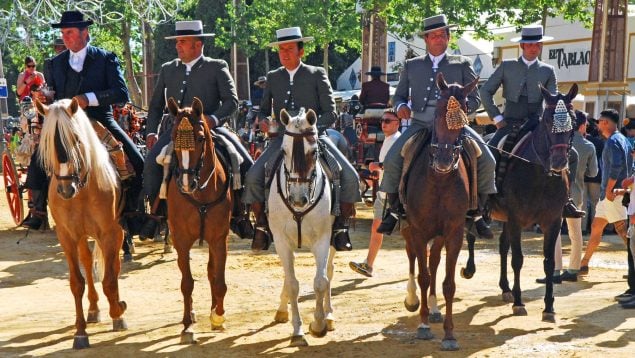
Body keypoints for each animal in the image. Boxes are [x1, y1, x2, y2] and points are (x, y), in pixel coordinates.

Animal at [34, 96, 128, 348]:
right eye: (48, 141)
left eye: (76, 139)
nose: (66, 189)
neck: (83, 189)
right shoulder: (67, 236)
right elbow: (76, 282)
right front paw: (80, 333)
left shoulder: (109, 232)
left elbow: (109, 279)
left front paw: (118, 312)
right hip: (83, 236)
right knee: (87, 260)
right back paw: (94, 310)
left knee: (114, 267)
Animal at [165, 96, 232, 342]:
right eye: (173, 137)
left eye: (201, 137)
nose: (186, 183)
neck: (200, 194)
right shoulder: (181, 240)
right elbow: (187, 283)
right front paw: (186, 325)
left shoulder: (219, 239)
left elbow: (218, 280)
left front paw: (218, 316)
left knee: (212, 272)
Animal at [268, 107, 338, 346]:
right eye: (283, 151)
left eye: (314, 152)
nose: (298, 200)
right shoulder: (281, 241)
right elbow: (292, 284)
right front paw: (297, 331)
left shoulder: (323, 240)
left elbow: (320, 282)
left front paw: (318, 324)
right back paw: (281, 310)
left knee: (329, 271)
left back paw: (329, 315)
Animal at [402, 72, 476, 350]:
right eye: (436, 114)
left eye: (463, 118)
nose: (444, 161)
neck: (439, 180)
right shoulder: (418, 229)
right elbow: (423, 275)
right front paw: (423, 325)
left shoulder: (454, 232)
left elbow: (448, 283)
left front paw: (449, 334)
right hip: (408, 228)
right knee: (413, 256)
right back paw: (413, 300)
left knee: (433, 262)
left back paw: (434, 309)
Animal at [462, 83, 580, 322]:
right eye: (547, 120)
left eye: (573, 120)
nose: (559, 162)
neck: (540, 173)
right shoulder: (517, 219)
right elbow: (517, 259)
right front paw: (519, 303)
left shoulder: (553, 221)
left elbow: (548, 262)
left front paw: (549, 307)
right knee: (471, 234)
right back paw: (469, 269)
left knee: (502, 245)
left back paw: (505, 288)